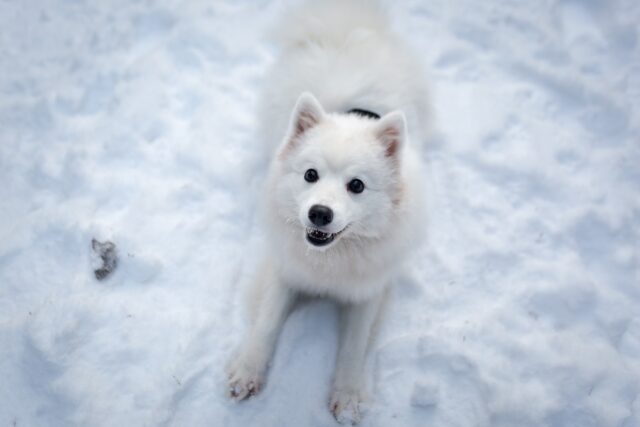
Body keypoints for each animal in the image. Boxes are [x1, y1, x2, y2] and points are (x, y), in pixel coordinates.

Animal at [225, 0, 430, 424]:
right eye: (310, 175)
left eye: (357, 186)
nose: (319, 213)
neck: (330, 260)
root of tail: (347, 27)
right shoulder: (284, 271)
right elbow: (266, 323)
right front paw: (247, 372)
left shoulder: (368, 290)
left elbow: (353, 346)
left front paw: (348, 397)